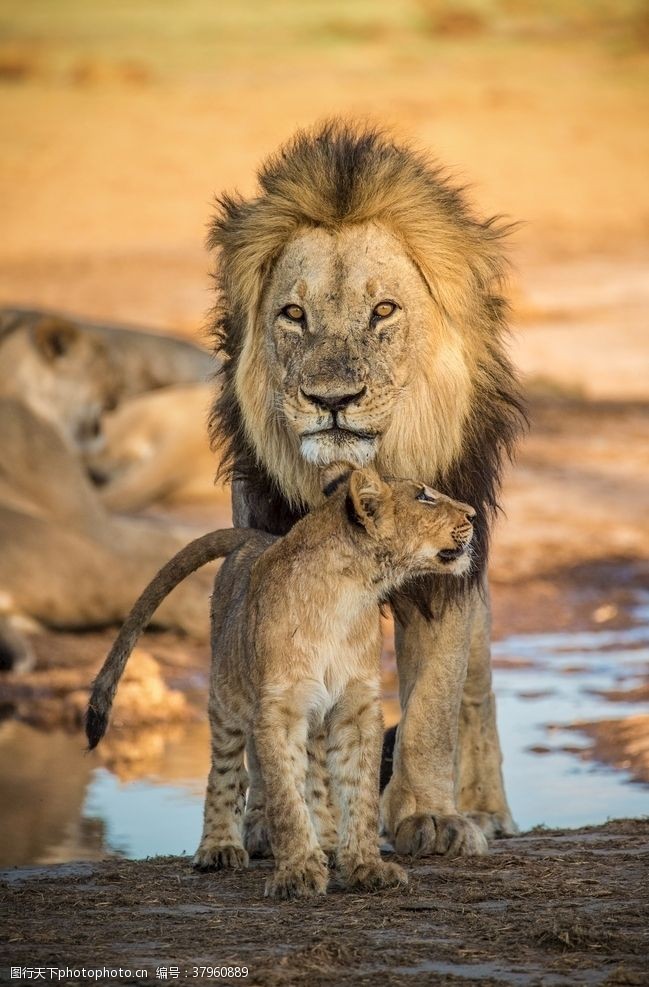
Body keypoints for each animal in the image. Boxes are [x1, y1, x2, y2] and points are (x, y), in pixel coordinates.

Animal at [86, 464, 474, 896]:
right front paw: (298, 872)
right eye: (425, 497)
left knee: (316, 778)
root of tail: (256, 537)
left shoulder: (357, 709)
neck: (349, 594)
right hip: (227, 697)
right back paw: (219, 847)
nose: (474, 515)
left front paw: (365, 866)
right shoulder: (278, 710)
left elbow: (358, 794)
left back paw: (326, 842)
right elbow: (286, 798)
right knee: (228, 772)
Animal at [208, 121, 528, 856]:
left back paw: (486, 808)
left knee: (477, 689)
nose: (332, 399)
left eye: (383, 310)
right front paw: (277, 821)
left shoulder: (448, 568)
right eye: (293, 314)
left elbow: (434, 700)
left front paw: (429, 817)